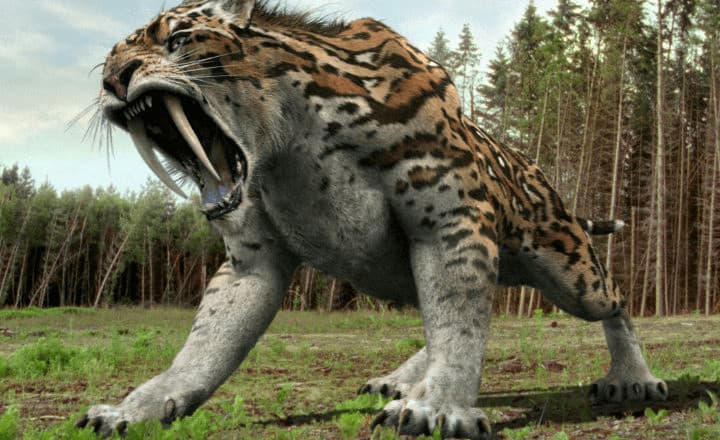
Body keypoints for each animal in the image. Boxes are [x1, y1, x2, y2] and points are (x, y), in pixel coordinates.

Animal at [78, 1, 668, 438]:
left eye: (177, 39)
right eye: (109, 62)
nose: (116, 80)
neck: (286, 143)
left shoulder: (449, 221)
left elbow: (459, 326)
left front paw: (440, 409)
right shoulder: (252, 261)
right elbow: (204, 348)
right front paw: (135, 408)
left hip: (571, 274)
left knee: (615, 301)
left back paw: (632, 380)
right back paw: (400, 381)